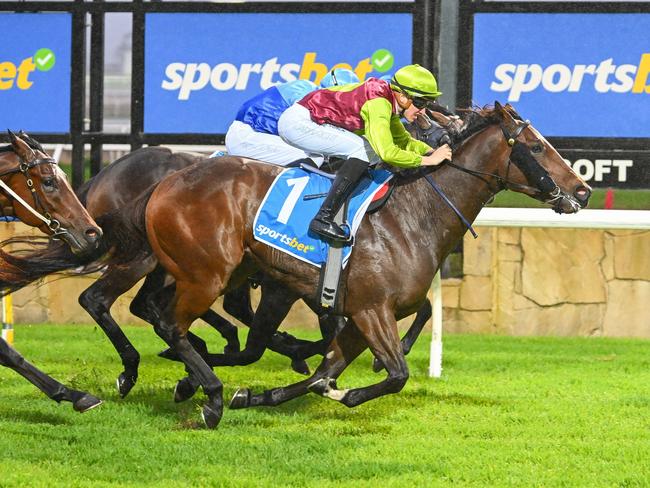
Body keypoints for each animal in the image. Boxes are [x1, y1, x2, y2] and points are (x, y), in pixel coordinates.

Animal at [130, 103, 588, 428]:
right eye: (536, 147)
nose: (582, 190)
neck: (412, 215)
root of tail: (166, 182)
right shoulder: (371, 310)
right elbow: (395, 374)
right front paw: (345, 393)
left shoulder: (358, 313)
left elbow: (323, 373)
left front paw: (258, 396)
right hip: (207, 274)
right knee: (171, 324)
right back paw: (210, 394)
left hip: (226, 272)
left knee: (168, 317)